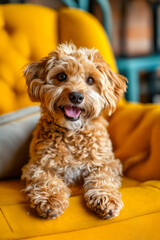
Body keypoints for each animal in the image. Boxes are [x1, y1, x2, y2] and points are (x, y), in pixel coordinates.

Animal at [21, 42, 127, 219]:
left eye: (90, 80)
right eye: (61, 76)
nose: (76, 96)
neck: (73, 135)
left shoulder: (108, 162)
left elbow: (103, 178)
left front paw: (106, 198)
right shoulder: (37, 165)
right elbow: (47, 180)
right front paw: (51, 200)